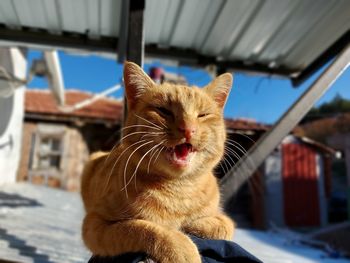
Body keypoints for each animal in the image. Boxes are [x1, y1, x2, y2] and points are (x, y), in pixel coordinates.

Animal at [81, 60, 235, 262]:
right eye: (164, 111)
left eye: (203, 115)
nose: (188, 129)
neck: (179, 190)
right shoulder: (95, 224)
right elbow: (139, 227)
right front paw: (181, 248)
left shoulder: (221, 217)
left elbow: (224, 224)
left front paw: (195, 225)